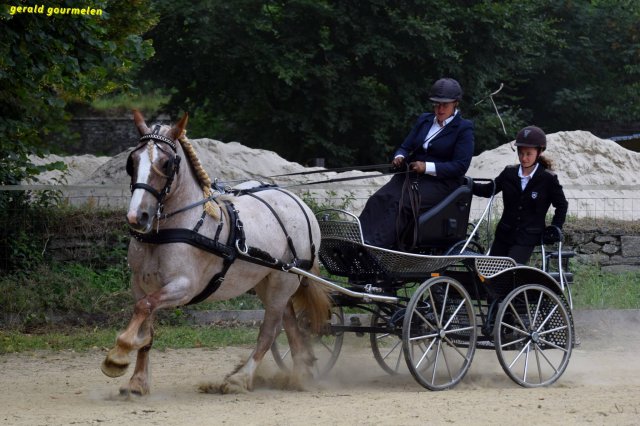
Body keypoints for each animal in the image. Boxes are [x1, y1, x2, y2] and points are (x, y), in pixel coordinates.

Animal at [100, 110, 331, 395]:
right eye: (132, 161)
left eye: (166, 163)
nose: (137, 216)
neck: (172, 229)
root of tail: (299, 203)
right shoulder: (142, 285)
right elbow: (146, 329)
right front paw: (137, 382)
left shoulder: (184, 287)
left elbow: (143, 309)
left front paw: (118, 354)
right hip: (268, 281)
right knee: (288, 324)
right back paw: (299, 374)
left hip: (283, 280)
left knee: (270, 328)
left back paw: (241, 378)